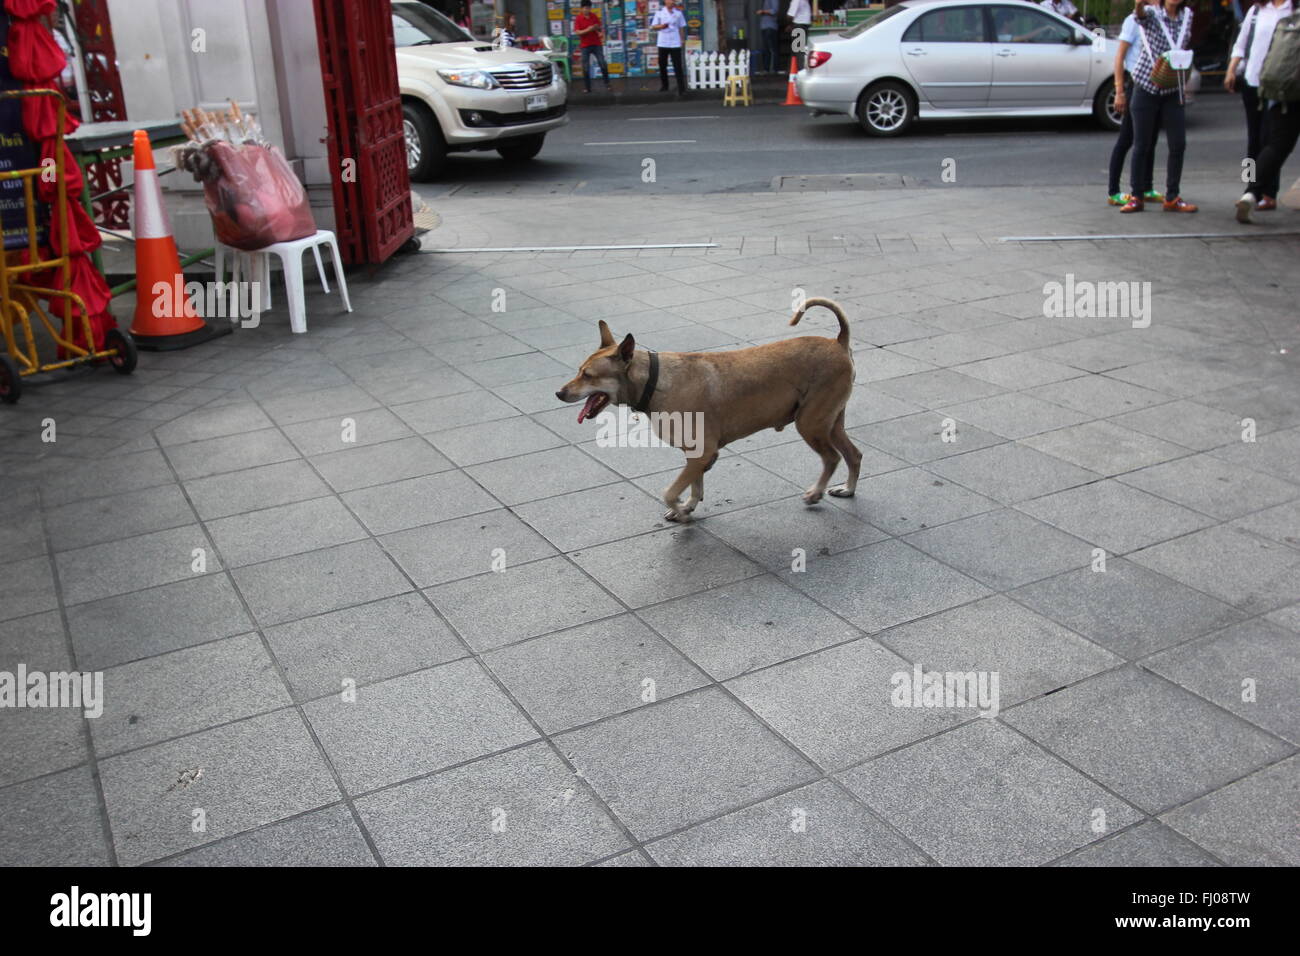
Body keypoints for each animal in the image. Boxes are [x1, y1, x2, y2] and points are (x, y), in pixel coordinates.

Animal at [551, 299, 863, 522]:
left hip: (810, 422)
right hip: (831, 421)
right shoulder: (698, 454)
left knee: (832, 458)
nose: (559, 393)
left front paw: (680, 508)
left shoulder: (701, 452)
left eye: (588, 375)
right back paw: (848, 488)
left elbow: (669, 491)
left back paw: (816, 493)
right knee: (854, 454)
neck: (655, 380)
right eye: (579, 370)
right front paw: (689, 505)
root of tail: (838, 342)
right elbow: (695, 484)